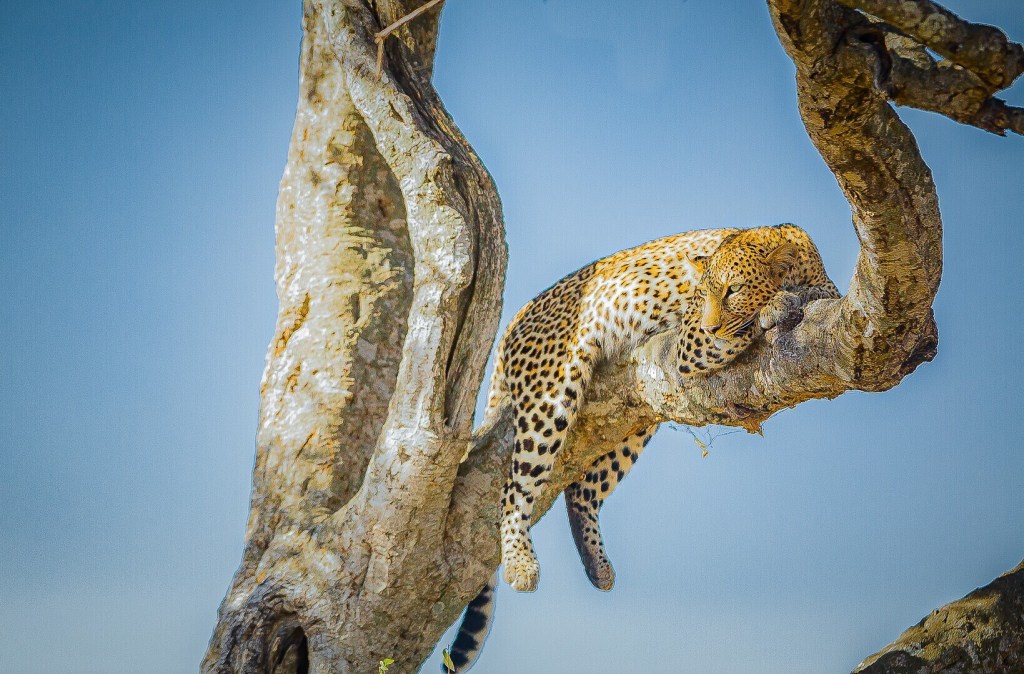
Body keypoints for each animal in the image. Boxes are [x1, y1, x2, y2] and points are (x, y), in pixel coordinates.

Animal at [443, 224, 838, 672]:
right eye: (704, 293)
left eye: (734, 289)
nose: (711, 325)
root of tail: (513, 320)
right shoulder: (689, 340)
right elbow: (751, 322)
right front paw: (778, 305)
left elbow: (816, 295)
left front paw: (791, 299)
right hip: (552, 392)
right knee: (514, 490)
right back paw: (521, 565)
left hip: (636, 416)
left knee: (580, 491)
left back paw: (597, 567)